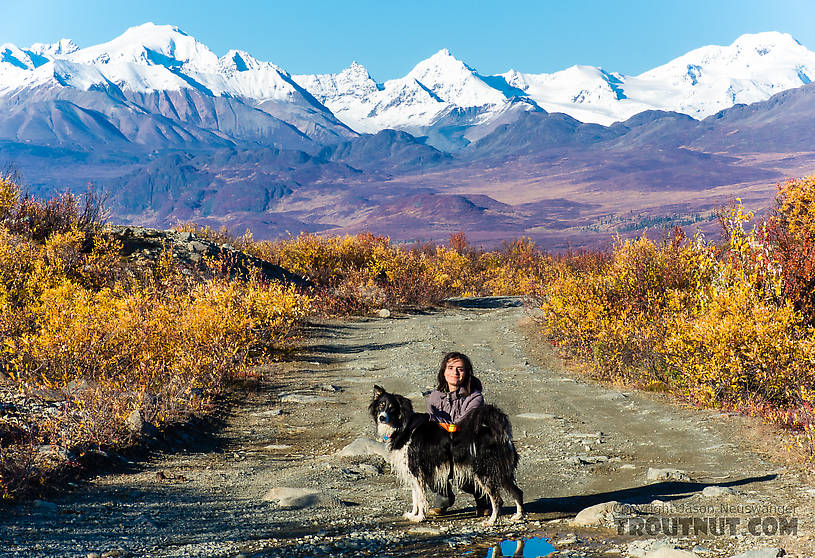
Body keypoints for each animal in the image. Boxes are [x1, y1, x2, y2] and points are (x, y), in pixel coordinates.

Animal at [370, 388, 524, 528]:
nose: (382, 417)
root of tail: (501, 436)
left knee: (498, 499)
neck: (402, 427)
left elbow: (420, 498)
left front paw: (420, 518)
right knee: (517, 492)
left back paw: (491, 521)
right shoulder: (412, 473)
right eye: (381, 406)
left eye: (392, 408)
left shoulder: (416, 471)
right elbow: (415, 497)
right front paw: (413, 514)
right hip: (502, 473)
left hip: (484, 472)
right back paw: (518, 516)